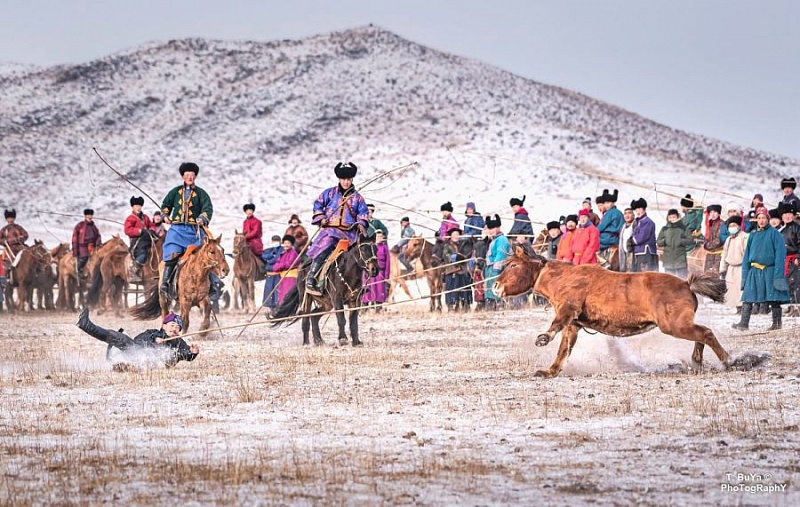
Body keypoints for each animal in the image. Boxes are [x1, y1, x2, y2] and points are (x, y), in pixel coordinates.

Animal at [494, 248, 764, 380]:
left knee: (705, 333)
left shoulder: (568, 310)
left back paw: (729, 361)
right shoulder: (574, 325)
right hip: (680, 324)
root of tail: (686, 284)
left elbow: (554, 327)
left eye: (514, 265)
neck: (562, 278)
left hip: (674, 325)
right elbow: (563, 350)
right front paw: (550, 371)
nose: (495, 286)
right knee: (701, 334)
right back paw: (697, 362)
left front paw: (543, 338)